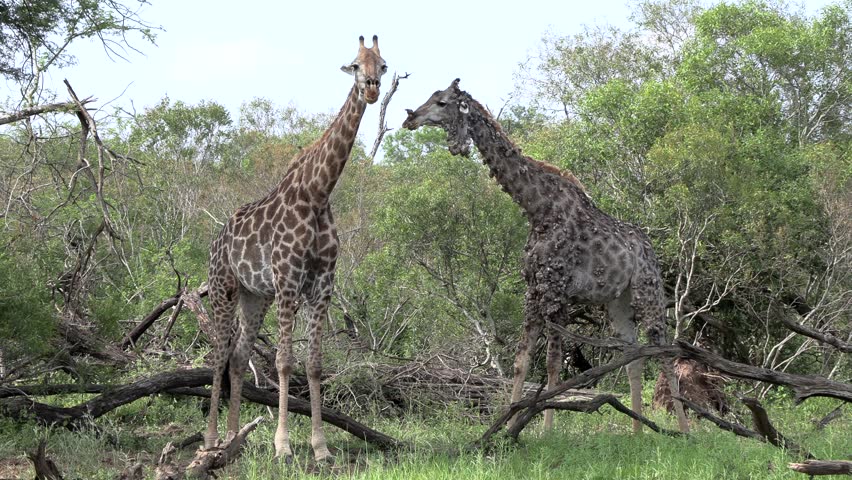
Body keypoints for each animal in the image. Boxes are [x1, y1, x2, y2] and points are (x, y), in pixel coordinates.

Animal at [205, 35, 387, 462]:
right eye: (356, 65)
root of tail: (216, 243)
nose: (372, 89)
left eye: (384, 65)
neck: (318, 194)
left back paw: (234, 438)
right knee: (218, 356)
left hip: (255, 296)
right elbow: (285, 362)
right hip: (224, 289)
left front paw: (321, 449)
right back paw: (210, 440)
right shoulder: (288, 281)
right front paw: (283, 446)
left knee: (238, 357)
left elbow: (315, 364)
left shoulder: (321, 285)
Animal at [402, 79, 690, 434]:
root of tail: (649, 249)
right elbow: (521, 361)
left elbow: (552, 363)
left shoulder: (556, 290)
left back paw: (684, 430)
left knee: (663, 350)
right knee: (632, 355)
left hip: (647, 290)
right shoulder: (534, 289)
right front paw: (508, 423)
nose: (410, 119)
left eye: (441, 102)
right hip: (617, 301)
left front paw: (545, 430)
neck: (537, 209)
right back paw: (637, 430)